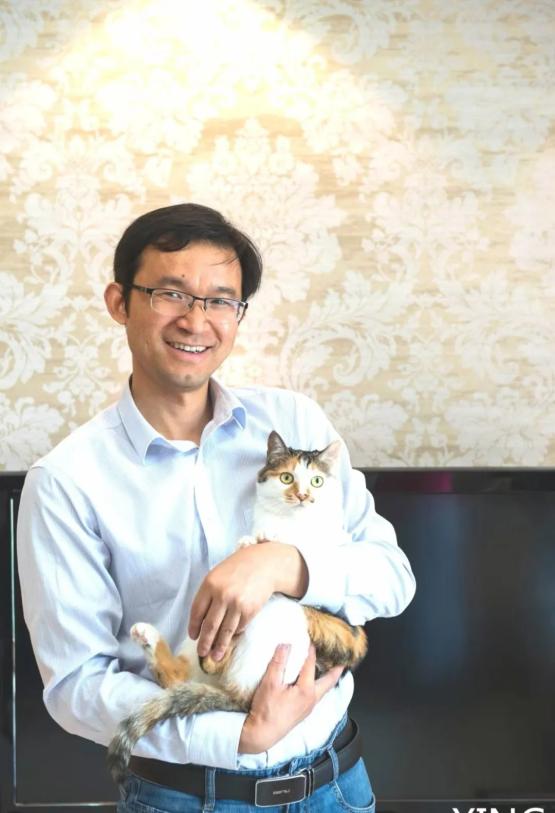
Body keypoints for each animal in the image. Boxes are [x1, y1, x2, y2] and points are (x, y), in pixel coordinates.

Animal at [107, 430, 367, 783]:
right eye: (287, 477)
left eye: (316, 481)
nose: (302, 496)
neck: (290, 522)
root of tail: (241, 700)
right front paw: (251, 540)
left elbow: (302, 549)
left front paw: (267, 543)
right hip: (200, 635)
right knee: (182, 675)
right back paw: (150, 637)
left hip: (274, 625)